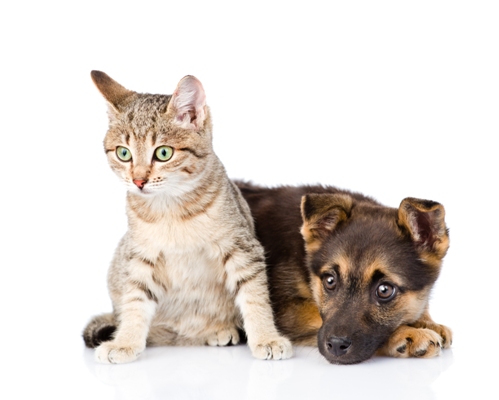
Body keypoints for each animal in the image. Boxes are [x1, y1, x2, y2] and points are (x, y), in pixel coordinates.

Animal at [82, 70, 292, 364]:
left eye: (163, 153)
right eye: (124, 153)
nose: (138, 181)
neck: (172, 209)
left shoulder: (242, 247)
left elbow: (254, 296)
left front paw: (266, 337)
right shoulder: (141, 255)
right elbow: (134, 300)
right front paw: (125, 341)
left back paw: (219, 330)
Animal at [238, 183, 454, 364]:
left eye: (385, 290)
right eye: (330, 281)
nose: (335, 346)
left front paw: (427, 322)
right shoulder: (284, 308)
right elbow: (316, 314)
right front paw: (408, 334)